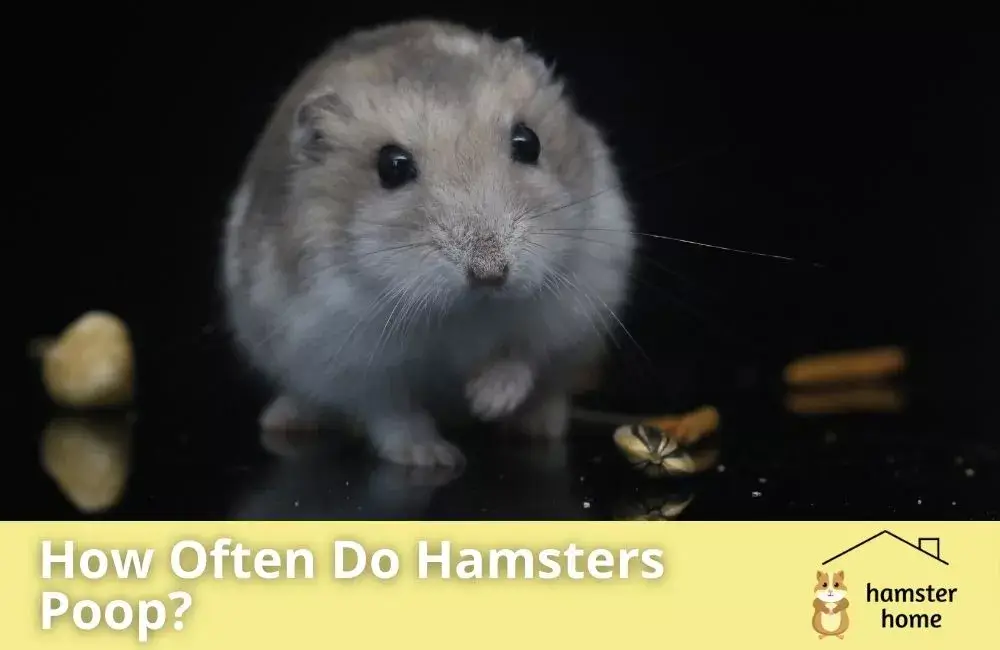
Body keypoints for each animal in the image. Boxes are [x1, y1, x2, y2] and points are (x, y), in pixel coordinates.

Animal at [222, 19, 636, 467]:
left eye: (529, 142)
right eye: (391, 166)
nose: (491, 275)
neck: (465, 311)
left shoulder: (571, 306)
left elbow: (523, 356)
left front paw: (483, 401)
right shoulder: (347, 356)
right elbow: (392, 412)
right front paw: (436, 458)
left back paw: (536, 427)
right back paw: (284, 419)